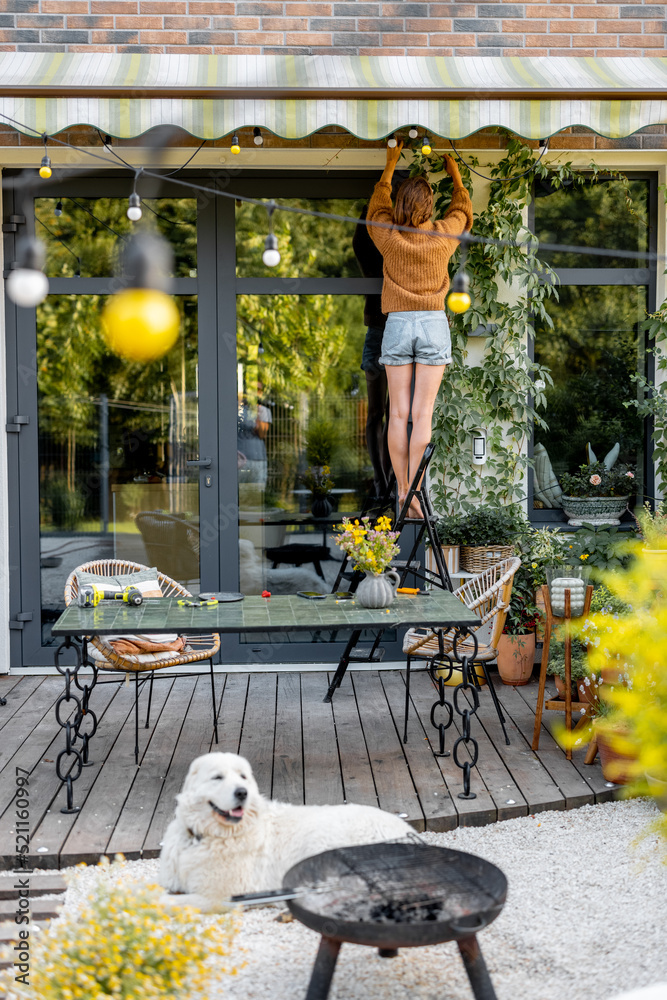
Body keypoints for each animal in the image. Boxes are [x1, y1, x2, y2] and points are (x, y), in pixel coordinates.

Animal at [160, 752, 414, 912]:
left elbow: (169, 902)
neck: (202, 836)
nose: (242, 792)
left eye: (243, 776)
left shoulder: (218, 895)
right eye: (217, 777)